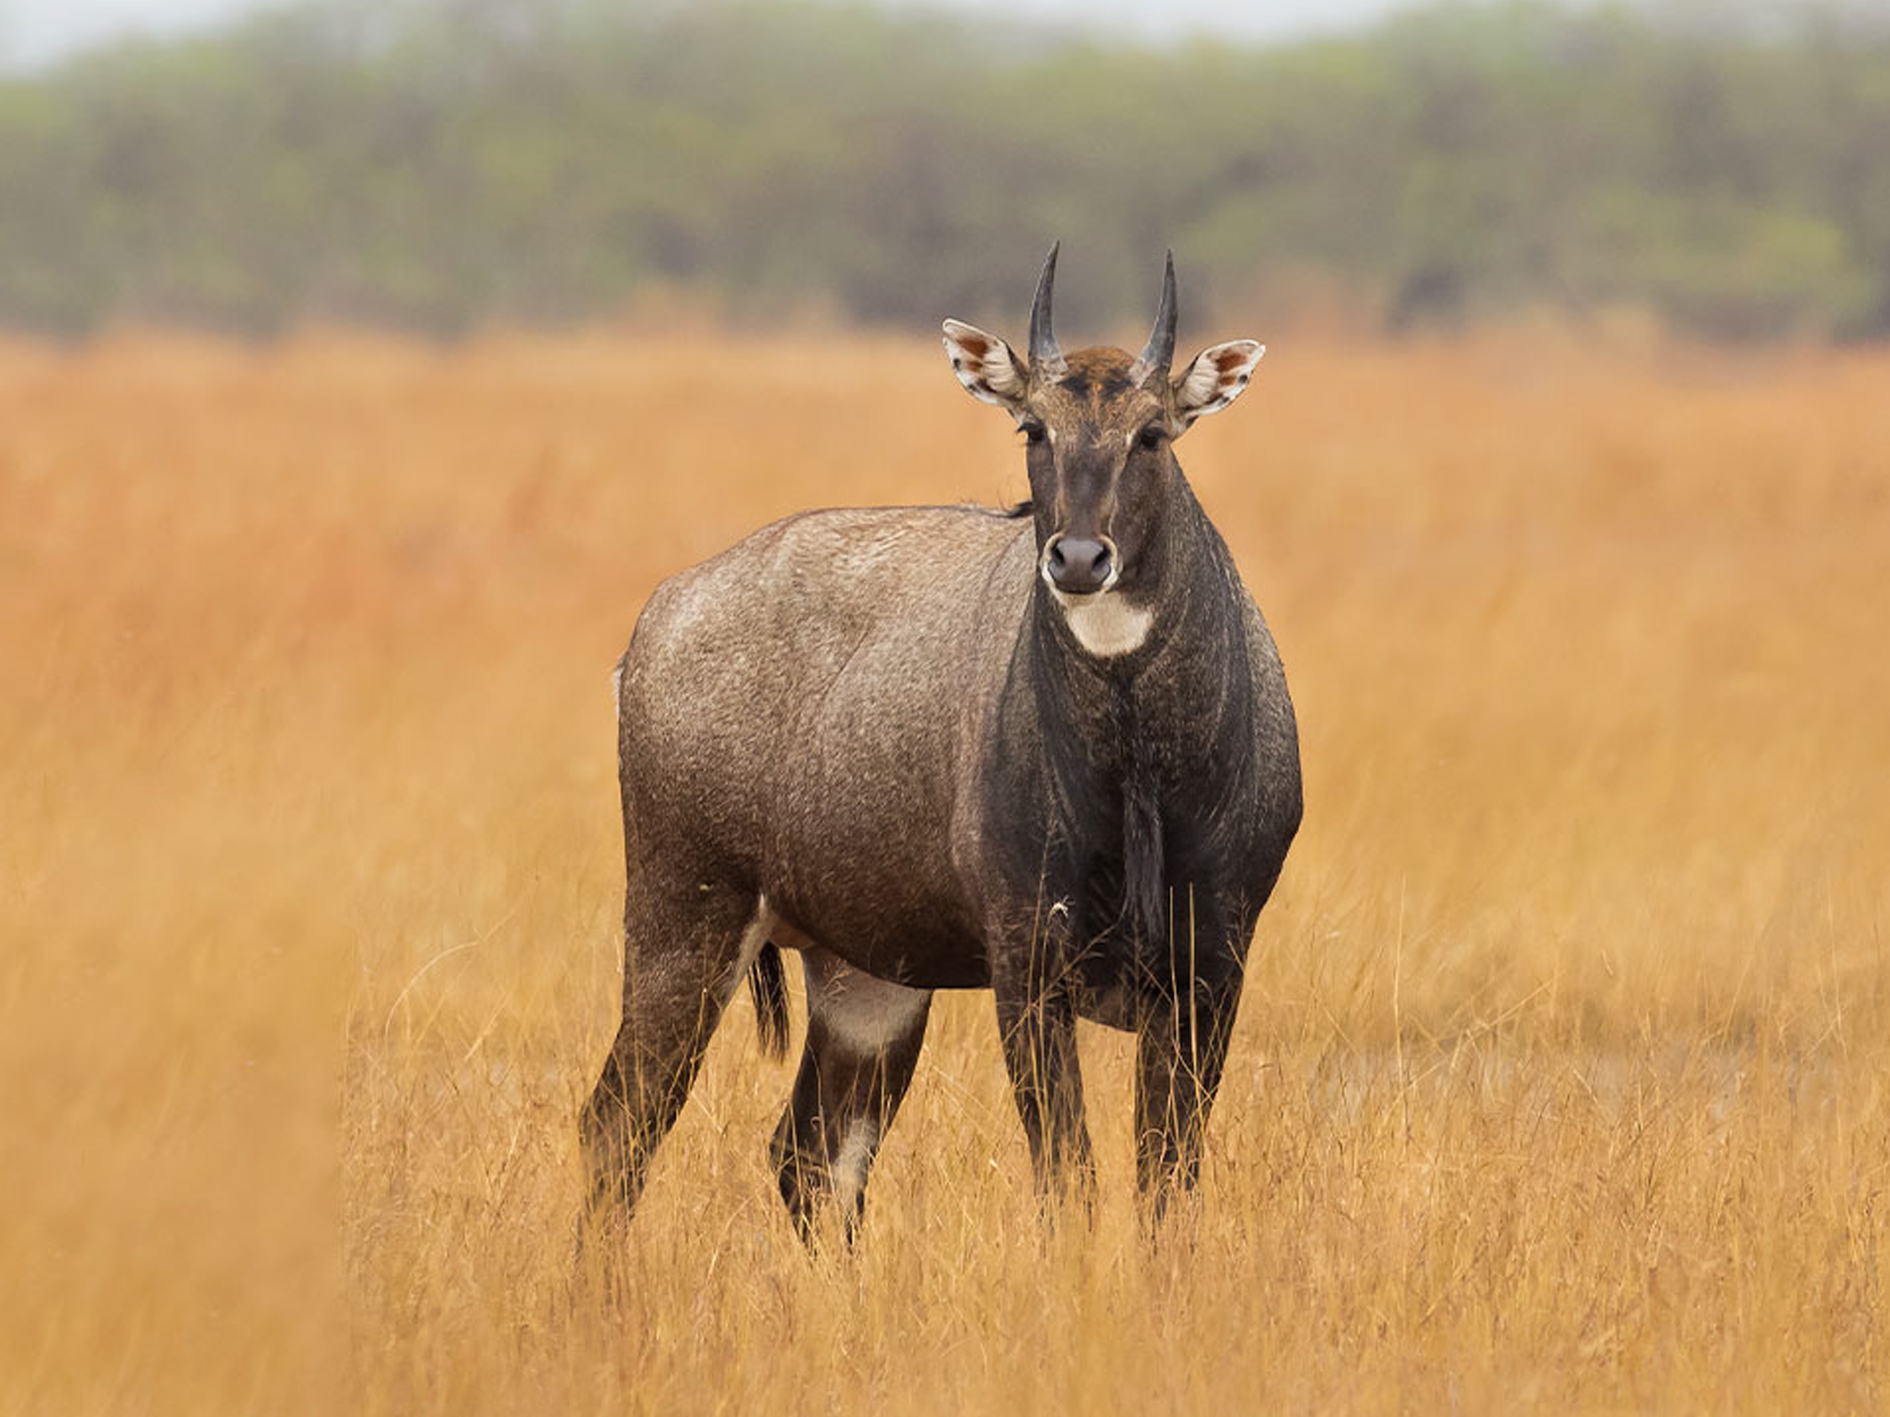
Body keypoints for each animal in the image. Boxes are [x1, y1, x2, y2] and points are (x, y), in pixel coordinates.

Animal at [582, 249, 1307, 1239]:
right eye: (1033, 426)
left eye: (1153, 432)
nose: (1079, 559)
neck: (1139, 773)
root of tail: (657, 621)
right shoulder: (1027, 965)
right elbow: (1069, 1178)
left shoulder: (1212, 969)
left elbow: (1167, 1184)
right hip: (684, 920)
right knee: (619, 1126)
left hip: (863, 979)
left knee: (813, 1156)